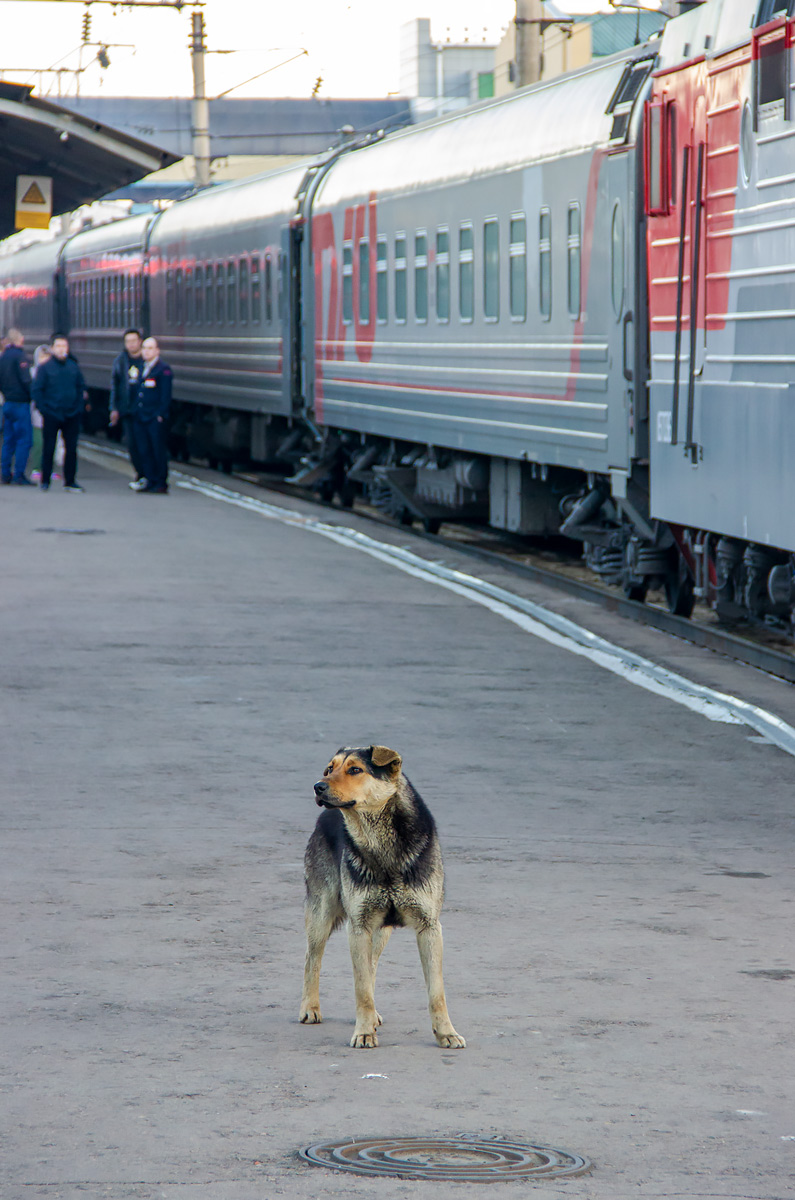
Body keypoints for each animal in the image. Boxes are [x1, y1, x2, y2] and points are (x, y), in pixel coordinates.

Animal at [302, 744, 470, 1046]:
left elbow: (436, 992)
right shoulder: (359, 927)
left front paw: (446, 1033)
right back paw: (310, 1008)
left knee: (371, 965)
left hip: (380, 932)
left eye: (355, 770)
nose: (318, 786)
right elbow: (361, 988)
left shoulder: (429, 927)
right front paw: (364, 1032)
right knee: (313, 959)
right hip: (322, 915)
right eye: (330, 769)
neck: (380, 844)